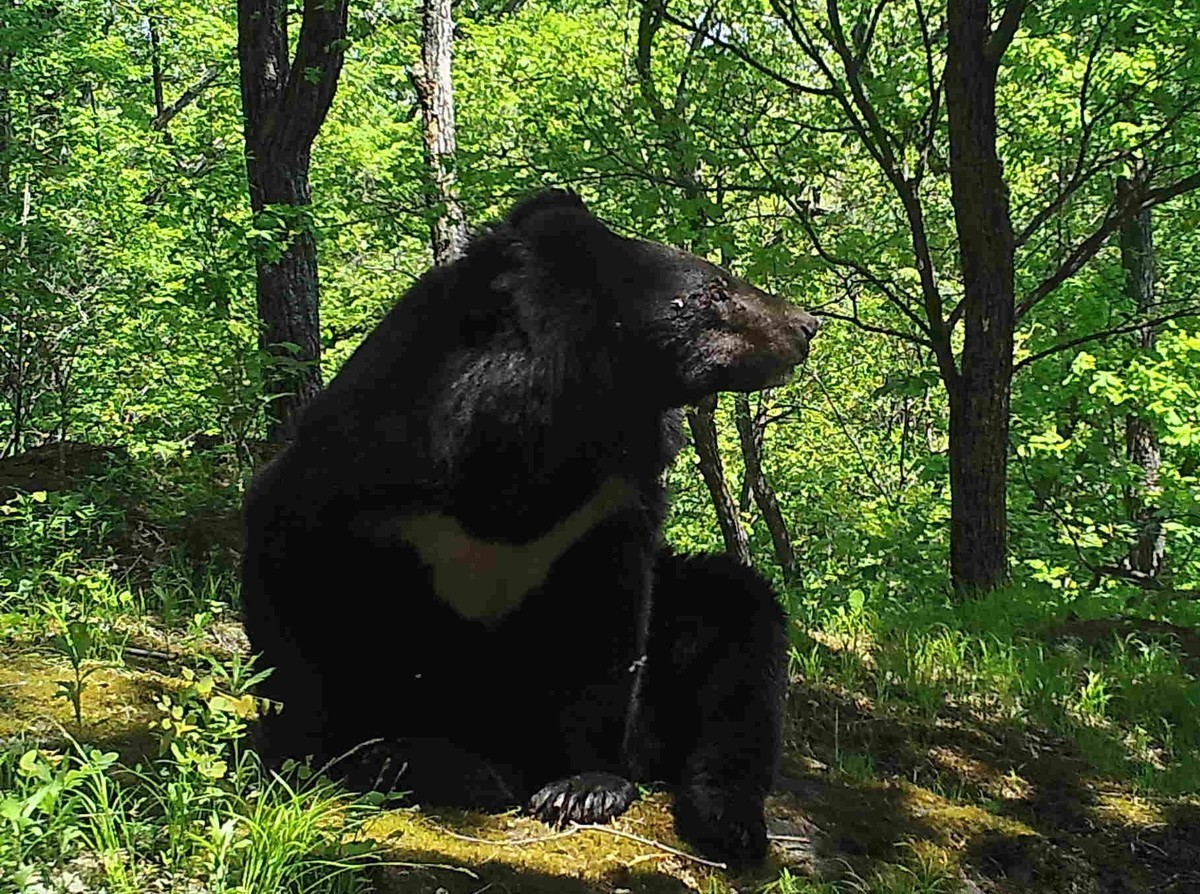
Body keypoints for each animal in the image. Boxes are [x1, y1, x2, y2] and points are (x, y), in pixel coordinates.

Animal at [241, 188, 825, 864]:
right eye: (714, 289)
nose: (805, 325)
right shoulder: (371, 469)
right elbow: (297, 594)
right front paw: (361, 751)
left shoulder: (607, 509)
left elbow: (607, 629)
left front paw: (582, 787)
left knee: (738, 640)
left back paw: (726, 821)